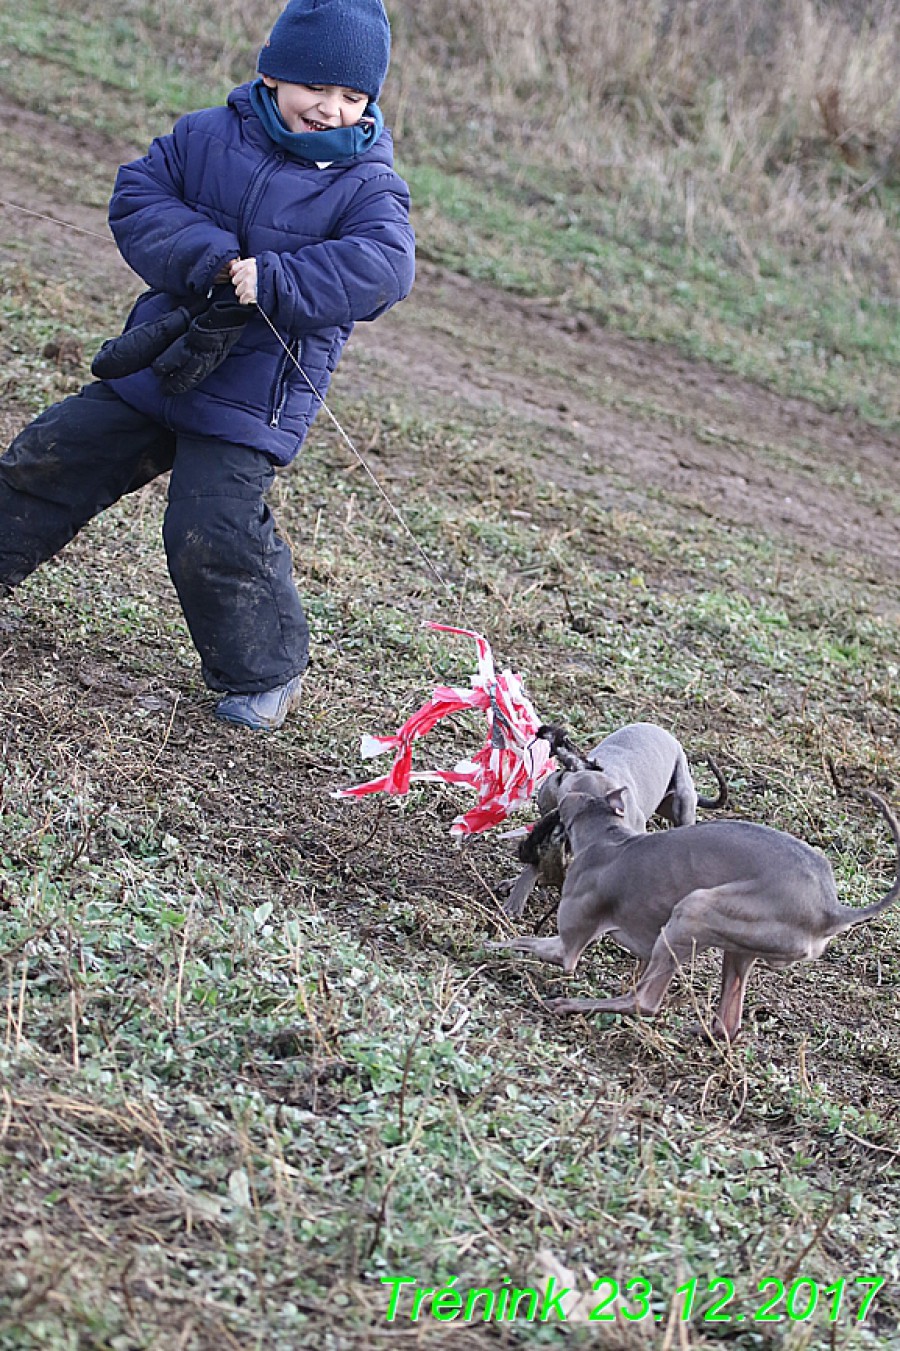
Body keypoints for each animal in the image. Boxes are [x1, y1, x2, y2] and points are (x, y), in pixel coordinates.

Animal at [491, 772, 897, 1042]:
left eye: (564, 777)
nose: (553, 770)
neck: (607, 836)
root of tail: (832, 909)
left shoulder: (567, 949)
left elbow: (524, 943)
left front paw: (490, 944)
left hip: (694, 909)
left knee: (645, 1001)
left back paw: (569, 1004)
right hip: (738, 945)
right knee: (727, 1024)